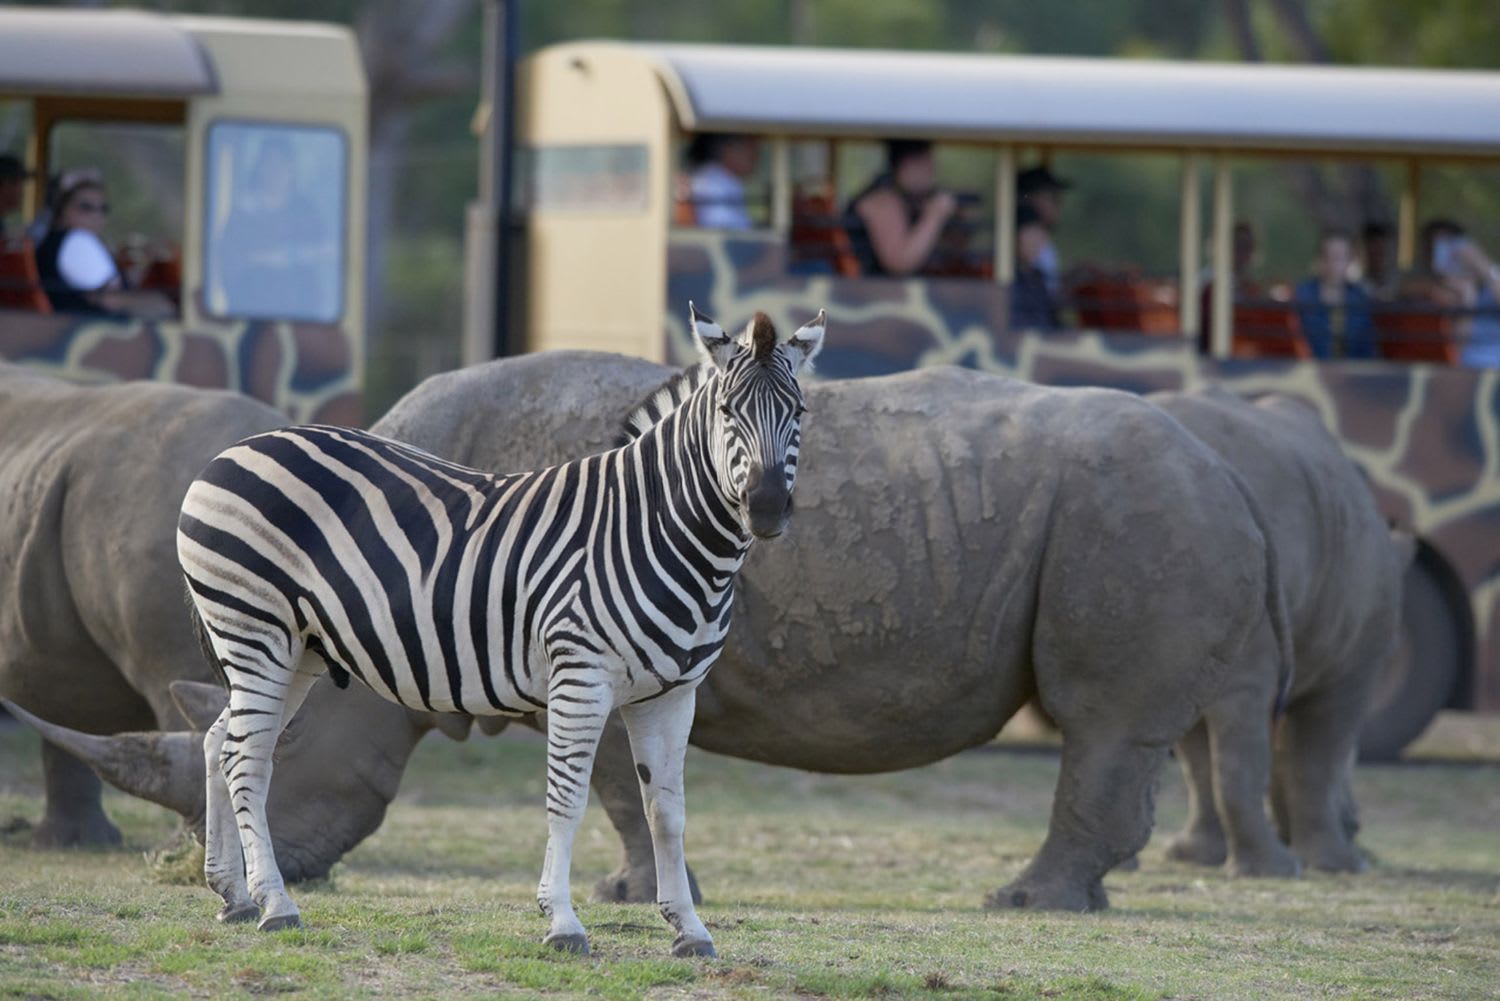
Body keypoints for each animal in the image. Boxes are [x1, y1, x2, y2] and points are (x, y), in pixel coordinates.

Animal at [180, 303, 828, 954]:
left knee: (218, 742)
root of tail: (238, 450)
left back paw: (233, 896)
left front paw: (689, 929)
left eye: (798, 412)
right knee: (246, 757)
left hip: (298, 651)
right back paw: (275, 904)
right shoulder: (580, 677)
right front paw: (562, 922)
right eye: (726, 413)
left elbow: (667, 811)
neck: (655, 530)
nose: (766, 508)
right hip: (254, 630)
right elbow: (566, 800)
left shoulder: (672, 694)